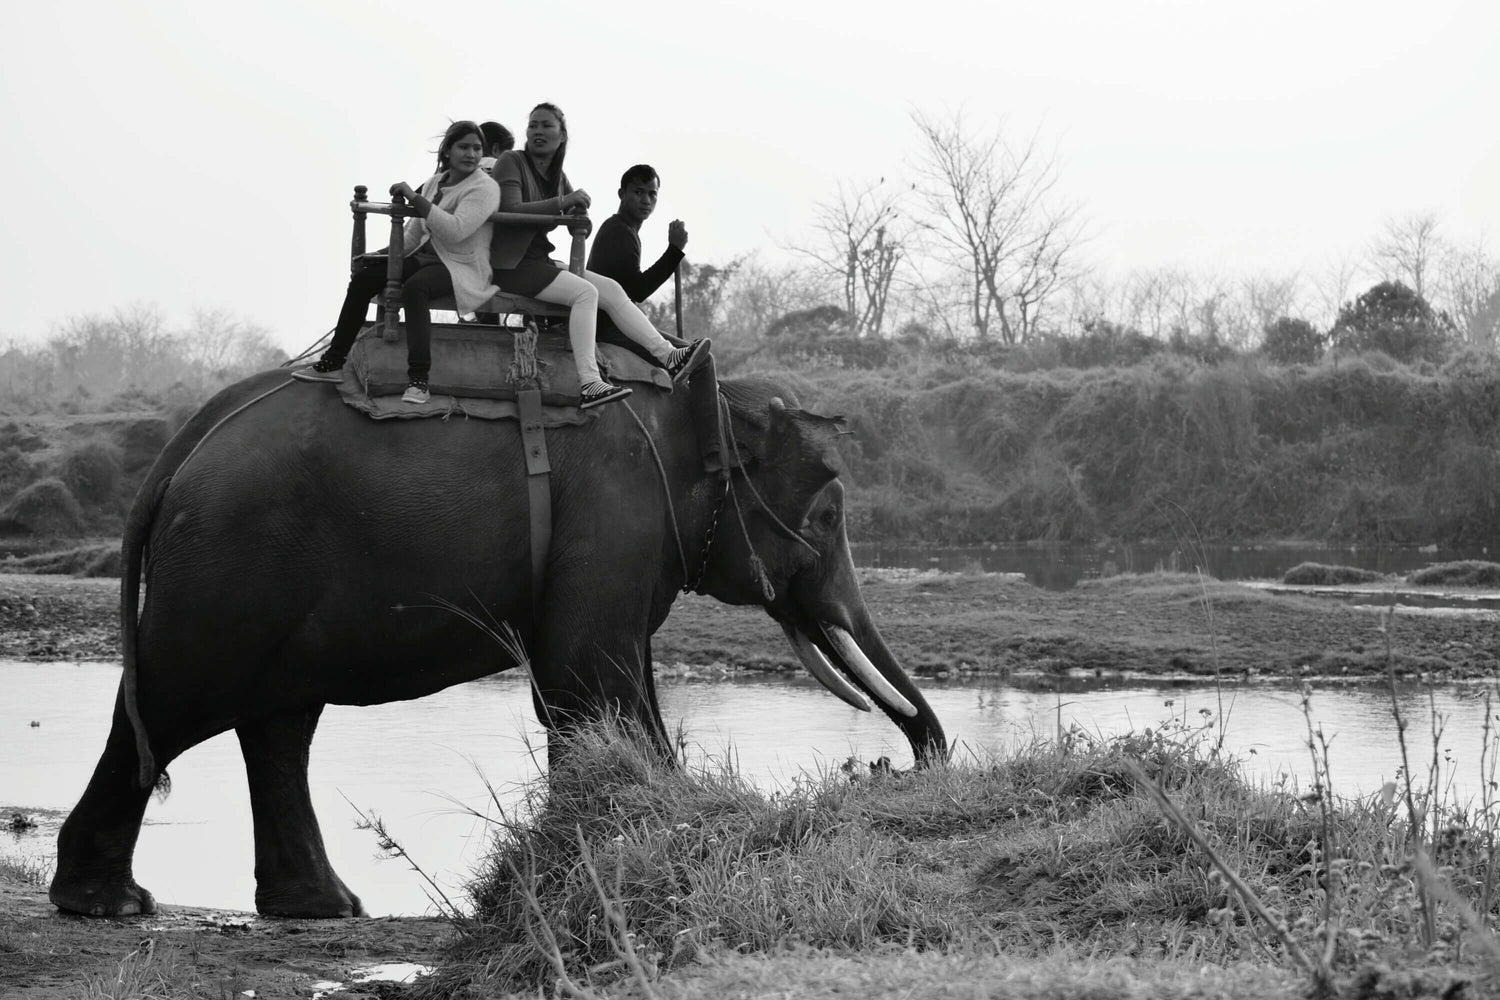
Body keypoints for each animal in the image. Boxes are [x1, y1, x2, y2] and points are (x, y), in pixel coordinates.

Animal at [48, 365, 947, 918]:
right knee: (175, 701)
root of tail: (183, 443)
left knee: (277, 723)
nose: (909, 763)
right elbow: (586, 676)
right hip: (230, 562)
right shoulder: (616, 512)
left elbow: (610, 679)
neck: (701, 400)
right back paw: (110, 904)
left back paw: (323, 908)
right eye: (826, 517)